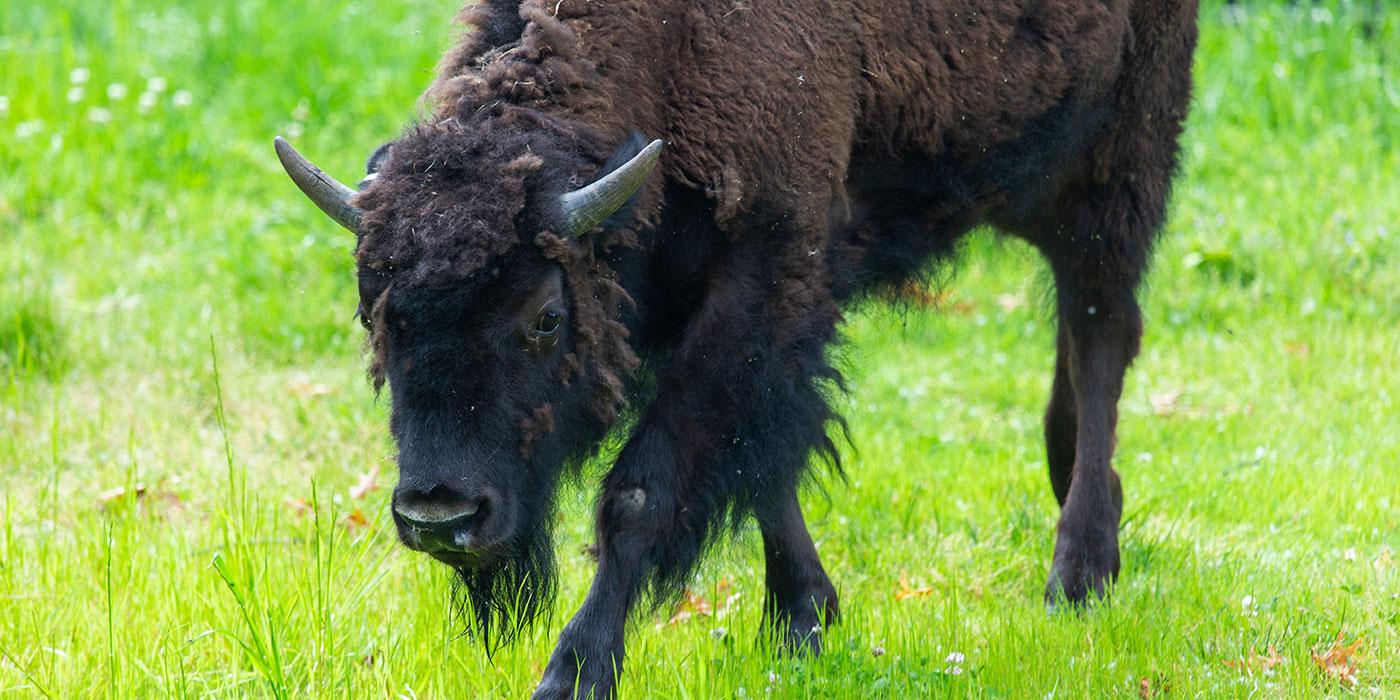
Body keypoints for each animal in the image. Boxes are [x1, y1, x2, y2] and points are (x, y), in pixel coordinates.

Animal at [275, 0, 1204, 694]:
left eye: (543, 315)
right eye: (375, 314)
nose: (441, 516)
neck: (668, 54)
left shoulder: (761, 282)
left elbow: (643, 491)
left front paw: (573, 671)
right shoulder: (730, 324)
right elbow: (762, 463)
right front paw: (804, 619)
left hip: (1119, 166)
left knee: (1101, 330)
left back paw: (1079, 573)